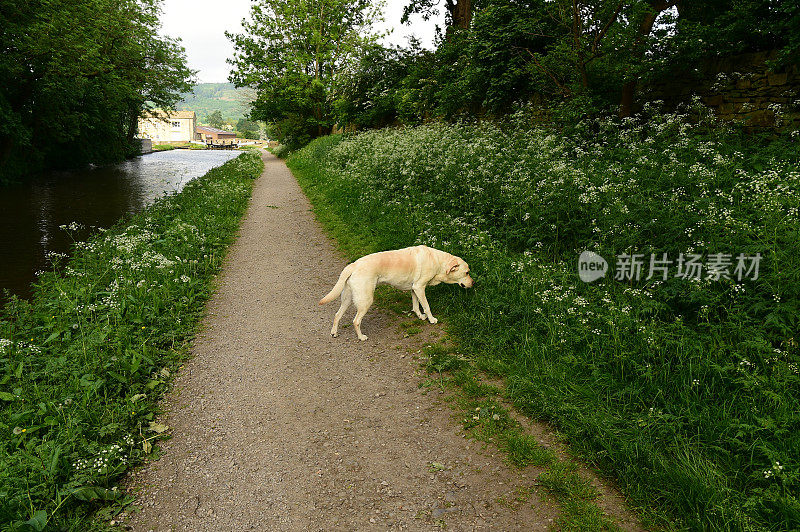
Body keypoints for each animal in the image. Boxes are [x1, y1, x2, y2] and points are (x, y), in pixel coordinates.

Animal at [322, 245, 476, 340]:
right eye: (467, 272)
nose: (474, 283)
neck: (438, 262)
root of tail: (354, 265)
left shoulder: (414, 289)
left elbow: (416, 305)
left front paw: (420, 316)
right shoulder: (420, 287)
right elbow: (426, 306)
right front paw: (431, 319)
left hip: (347, 299)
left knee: (337, 315)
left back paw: (334, 332)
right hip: (366, 301)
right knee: (356, 321)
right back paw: (361, 337)